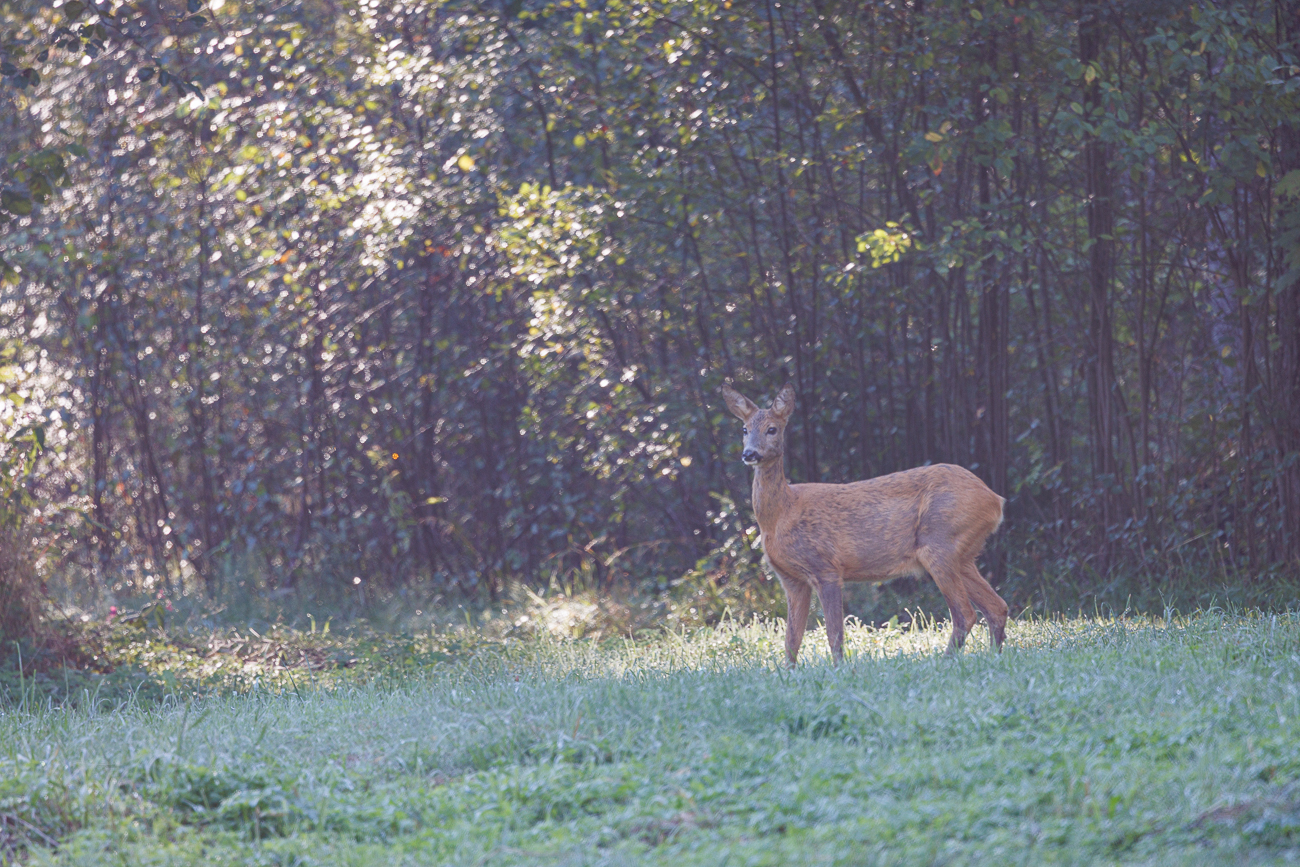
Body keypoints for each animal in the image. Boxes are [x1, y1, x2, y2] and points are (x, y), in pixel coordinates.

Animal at [721, 382, 1009, 665]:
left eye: (772, 429)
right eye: (744, 429)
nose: (749, 453)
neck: (781, 515)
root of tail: (995, 500)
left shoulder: (826, 567)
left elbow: (834, 633)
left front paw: (840, 670)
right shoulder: (791, 580)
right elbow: (791, 640)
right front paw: (788, 674)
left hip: (940, 542)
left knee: (966, 613)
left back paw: (943, 662)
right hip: (963, 555)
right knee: (997, 607)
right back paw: (993, 657)